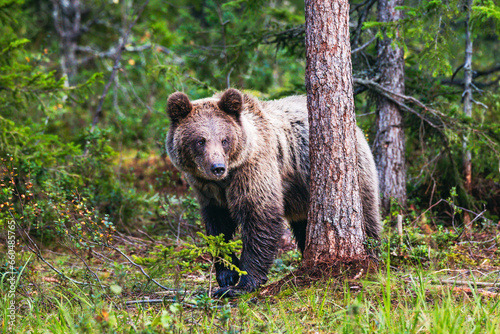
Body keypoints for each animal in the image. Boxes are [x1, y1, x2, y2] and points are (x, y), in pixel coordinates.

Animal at [166, 88, 380, 298]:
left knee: (367, 215)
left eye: (224, 139)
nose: (217, 167)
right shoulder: (208, 190)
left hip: (350, 172)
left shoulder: (254, 170)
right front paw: (227, 273)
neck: (226, 179)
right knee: (304, 227)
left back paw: (371, 254)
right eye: (200, 140)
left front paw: (242, 284)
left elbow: (259, 218)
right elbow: (217, 229)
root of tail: (358, 127)